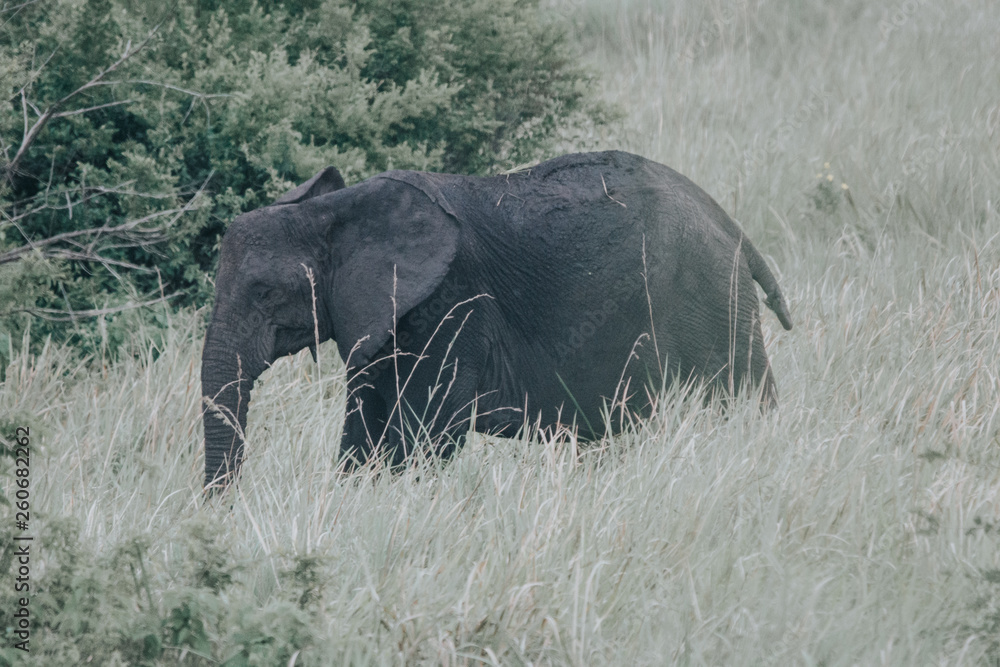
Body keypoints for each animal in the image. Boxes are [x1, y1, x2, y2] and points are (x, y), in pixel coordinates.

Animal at [201, 150, 793, 489]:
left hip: (710, 298)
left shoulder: (450, 306)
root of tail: (731, 225)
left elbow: (421, 437)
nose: (220, 509)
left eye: (265, 292)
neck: (335, 212)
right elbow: (363, 423)